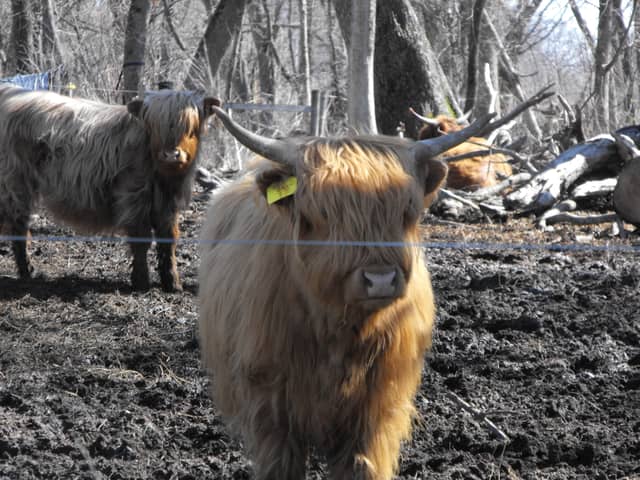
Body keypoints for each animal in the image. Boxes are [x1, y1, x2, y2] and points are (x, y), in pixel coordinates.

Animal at [0, 84, 219, 291]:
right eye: (155, 128)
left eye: (190, 127)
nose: (171, 155)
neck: (163, 177)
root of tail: (9, 89)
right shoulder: (134, 196)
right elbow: (141, 238)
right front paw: (141, 282)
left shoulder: (167, 204)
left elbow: (169, 239)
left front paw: (173, 284)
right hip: (15, 184)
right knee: (19, 226)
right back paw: (27, 272)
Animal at [198, 107, 495, 479]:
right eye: (323, 213)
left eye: (406, 211)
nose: (380, 279)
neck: (338, 331)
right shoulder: (270, 402)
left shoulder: (378, 405)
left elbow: (361, 465)